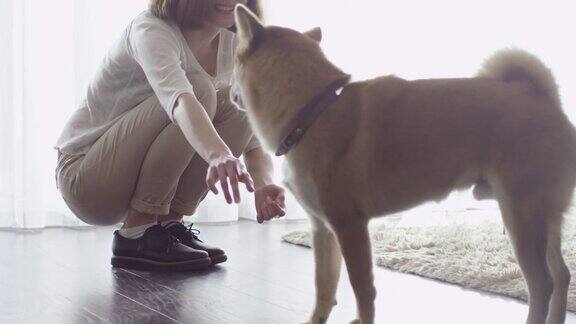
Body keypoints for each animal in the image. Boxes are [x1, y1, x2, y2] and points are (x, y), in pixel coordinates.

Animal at [233, 5, 576, 324]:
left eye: (234, 63)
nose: (230, 91)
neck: (312, 112)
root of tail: (542, 99)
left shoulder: (349, 226)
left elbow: (362, 289)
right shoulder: (323, 229)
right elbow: (324, 288)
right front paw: (315, 319)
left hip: (521, 217)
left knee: (542, 284)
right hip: (541, 217)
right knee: (562, 275)